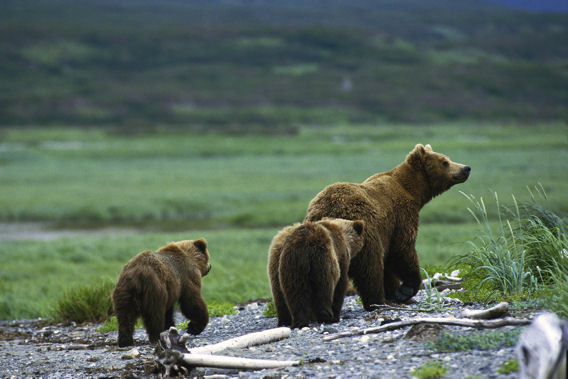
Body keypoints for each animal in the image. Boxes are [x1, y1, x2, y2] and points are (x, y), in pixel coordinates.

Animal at [306, 144, 470, 310]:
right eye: (445, 162)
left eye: (448, 158)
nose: (466, 168)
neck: (412, 191)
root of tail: (326, 211)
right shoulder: (400, 217)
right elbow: (402, 249)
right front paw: (405, 290)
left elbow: (390, 264)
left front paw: (397, 293)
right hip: (365, 232)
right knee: (371, 268)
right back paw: (379, 301)